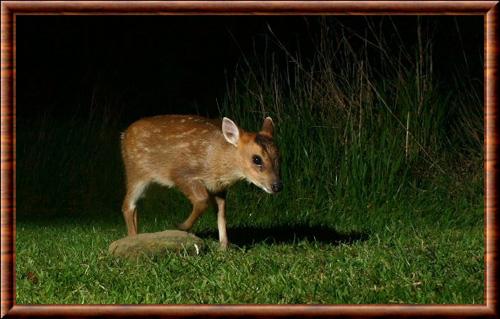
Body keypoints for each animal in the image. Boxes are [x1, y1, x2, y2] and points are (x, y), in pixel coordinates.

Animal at [119, 115, 280, 250]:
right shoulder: (182, 174)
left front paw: (224, 247)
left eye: (279, 156)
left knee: (136, 206)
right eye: (256, 159)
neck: (217, 159)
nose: (277, 186)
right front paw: (182, 226)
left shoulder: (219, 188)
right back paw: (132, 239)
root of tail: (124, 135)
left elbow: (222, 213)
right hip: (136, 173)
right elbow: (202, 200)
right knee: (127, 205)